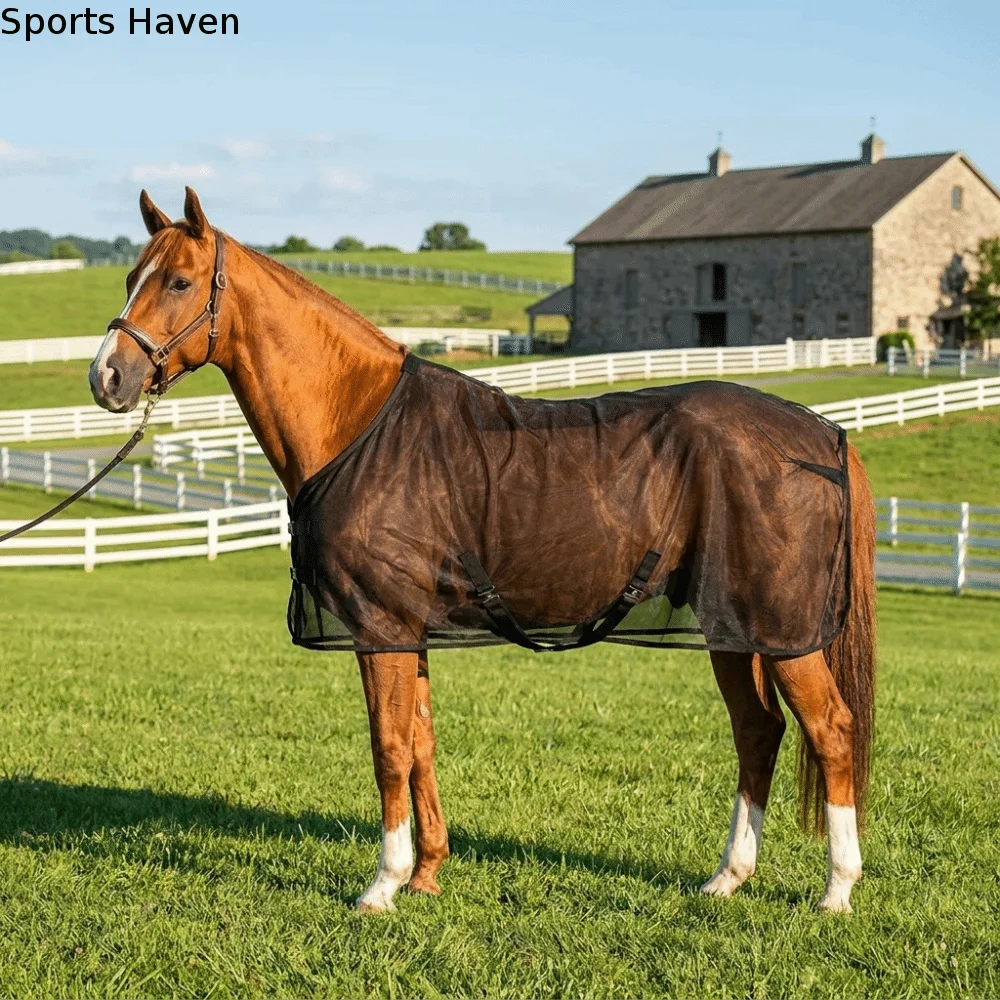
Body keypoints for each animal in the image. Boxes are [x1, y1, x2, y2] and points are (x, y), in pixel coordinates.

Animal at [89, 188, 877, 914]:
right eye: (130, 275)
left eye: (179, 281)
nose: (107, 377)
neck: (362, 426)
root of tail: (820, 435)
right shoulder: (408, 631)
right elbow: (420, 743)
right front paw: (428, 873)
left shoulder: (378, 628)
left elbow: (388, 748)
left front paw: (382, 886)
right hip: (732, 630)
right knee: (758, 731)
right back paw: (726, 878)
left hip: (781, 632)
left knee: (831, 731)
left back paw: (836, 891)